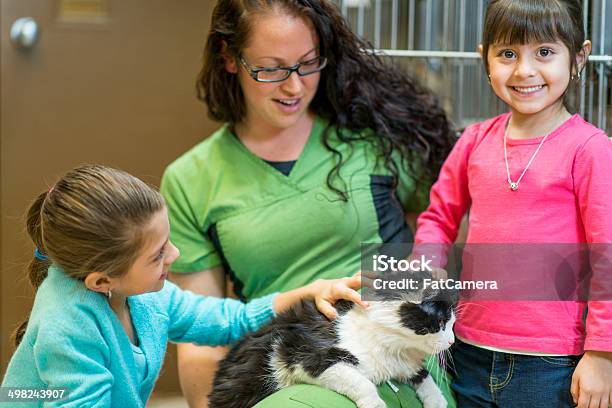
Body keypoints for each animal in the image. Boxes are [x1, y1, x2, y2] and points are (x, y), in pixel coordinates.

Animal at [209, 288, 454, 406]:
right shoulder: (305, 355)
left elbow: (423, 375)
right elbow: (362, 383)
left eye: (452, 322)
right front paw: (374, 403)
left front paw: (437, 400)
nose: (452, 341)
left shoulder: (402, 364)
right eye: (441, 323)